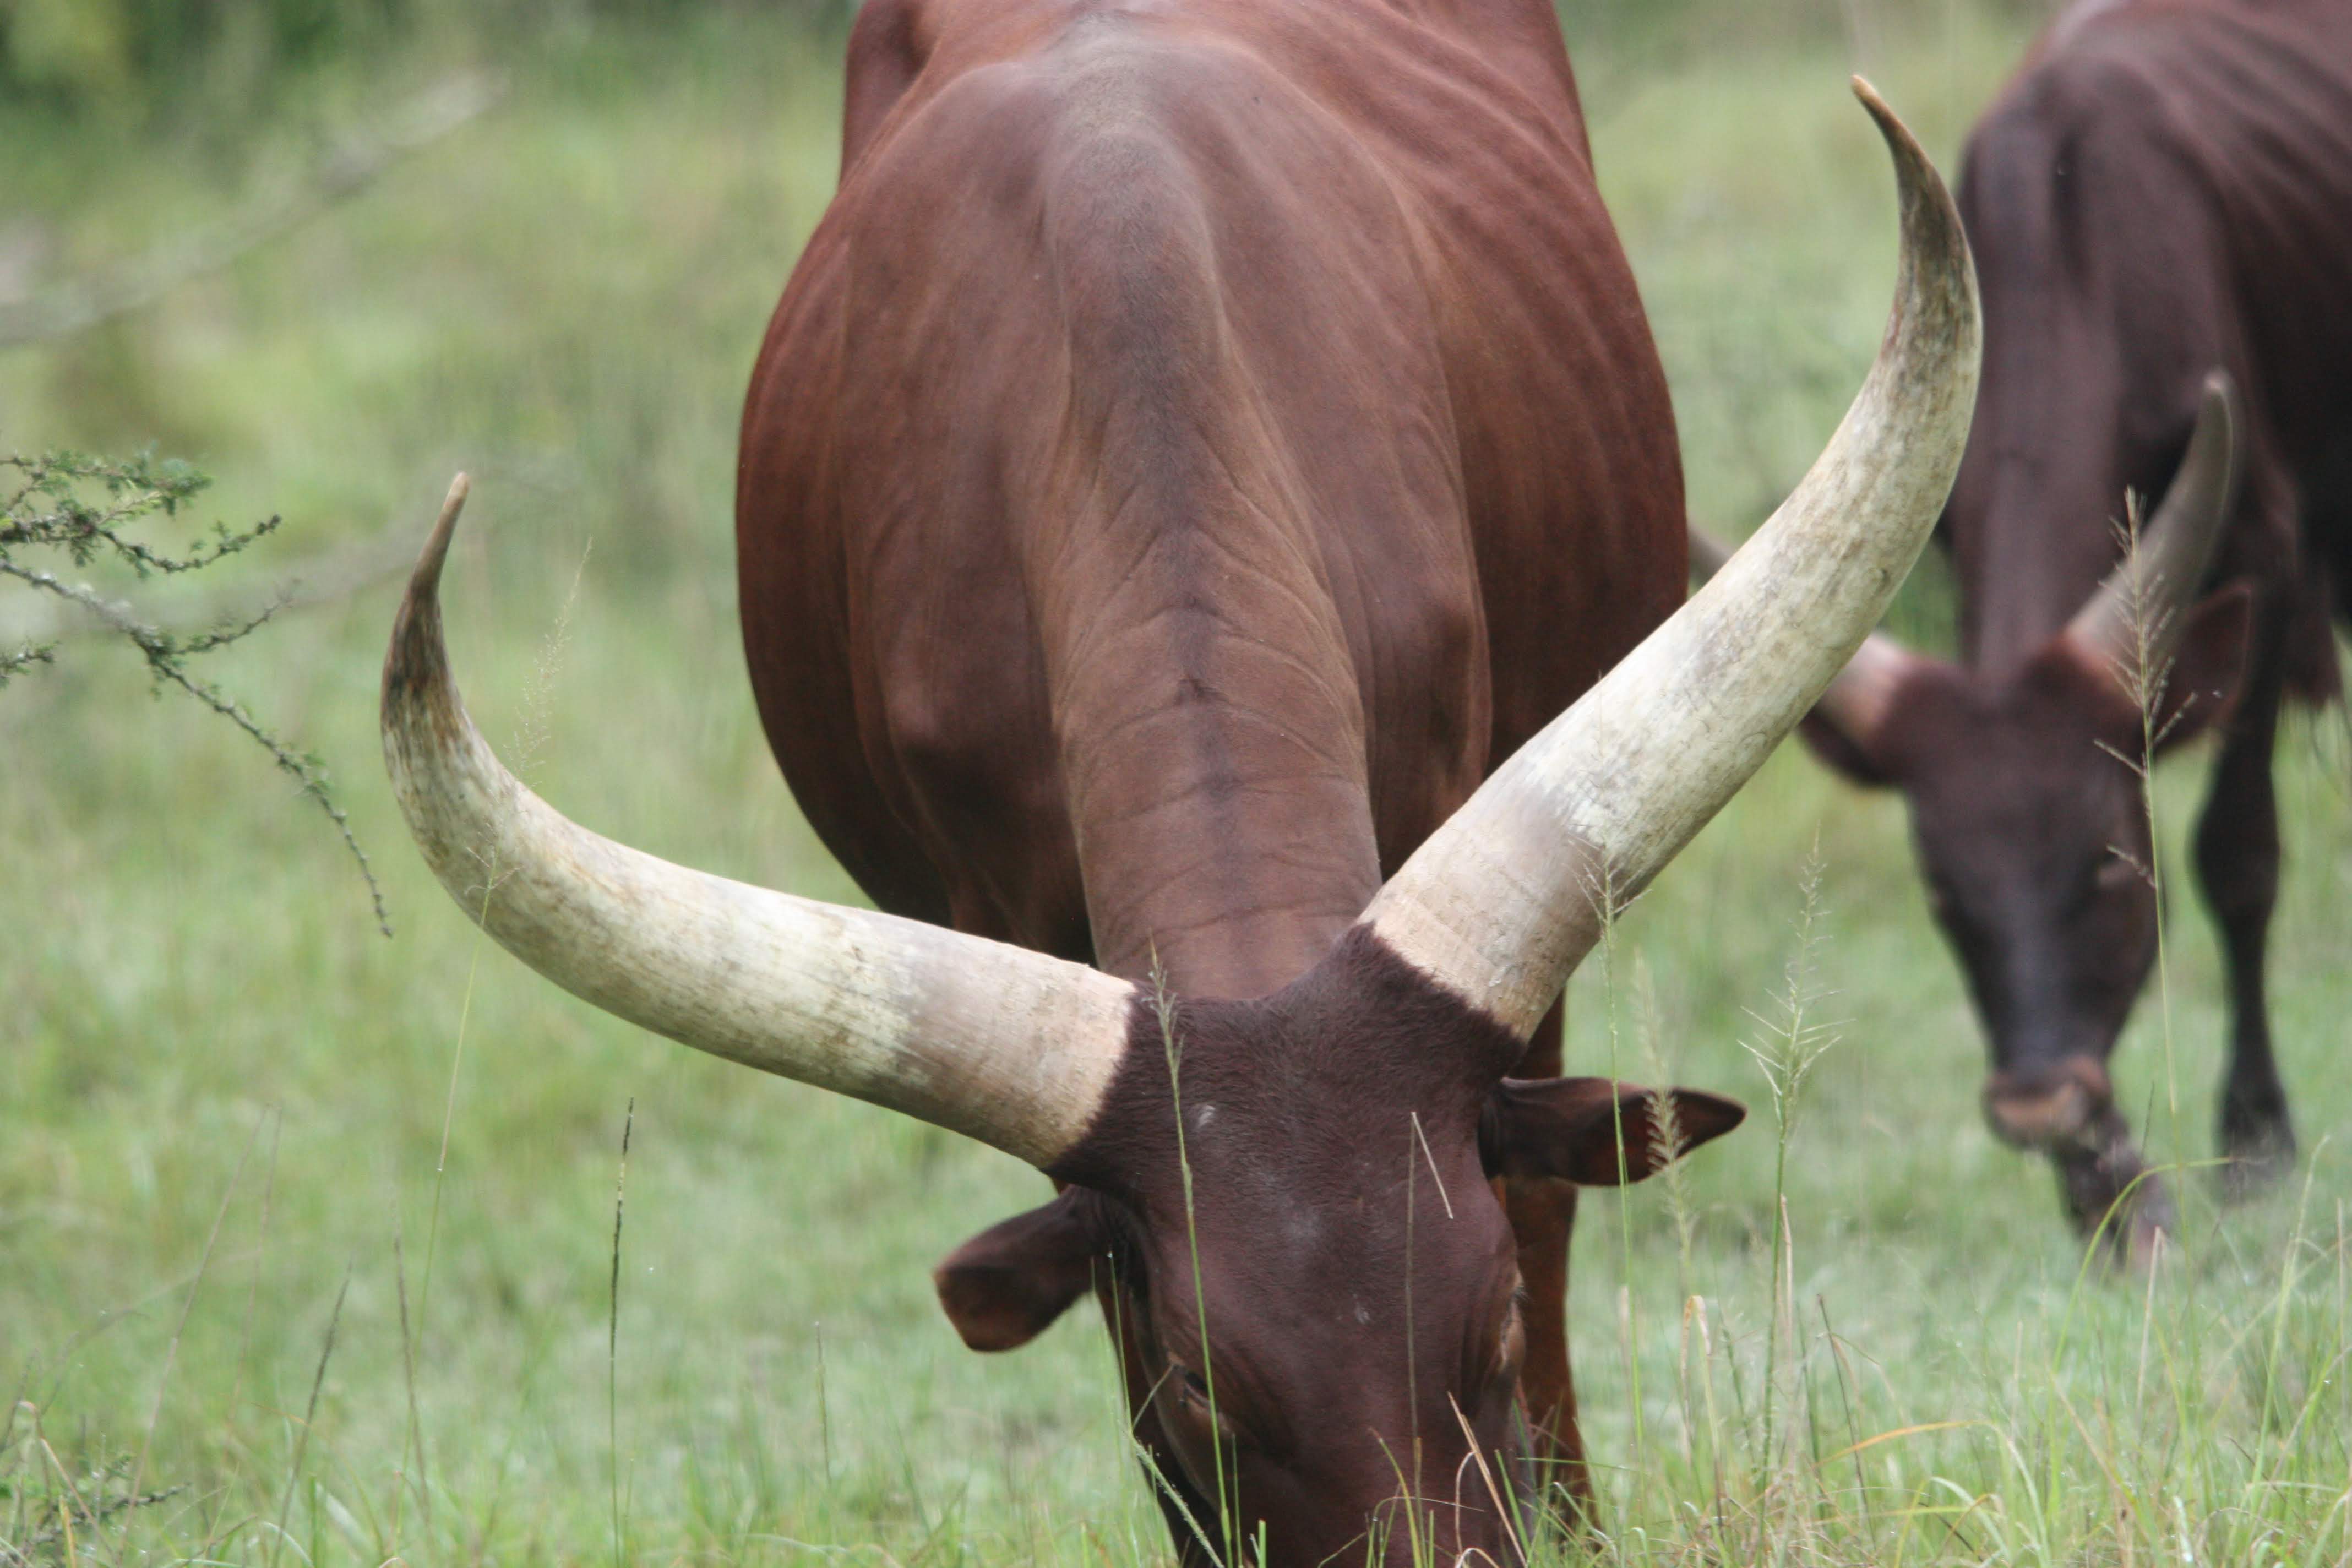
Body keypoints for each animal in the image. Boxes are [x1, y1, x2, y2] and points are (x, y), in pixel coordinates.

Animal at [1693, 0, 2351, 1262]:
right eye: (1943, 889)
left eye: (2106, 859)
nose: (2038, 1102)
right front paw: (2108, 1186)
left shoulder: (2275, 569)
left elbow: (2239, 858)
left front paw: (2255, 1139)